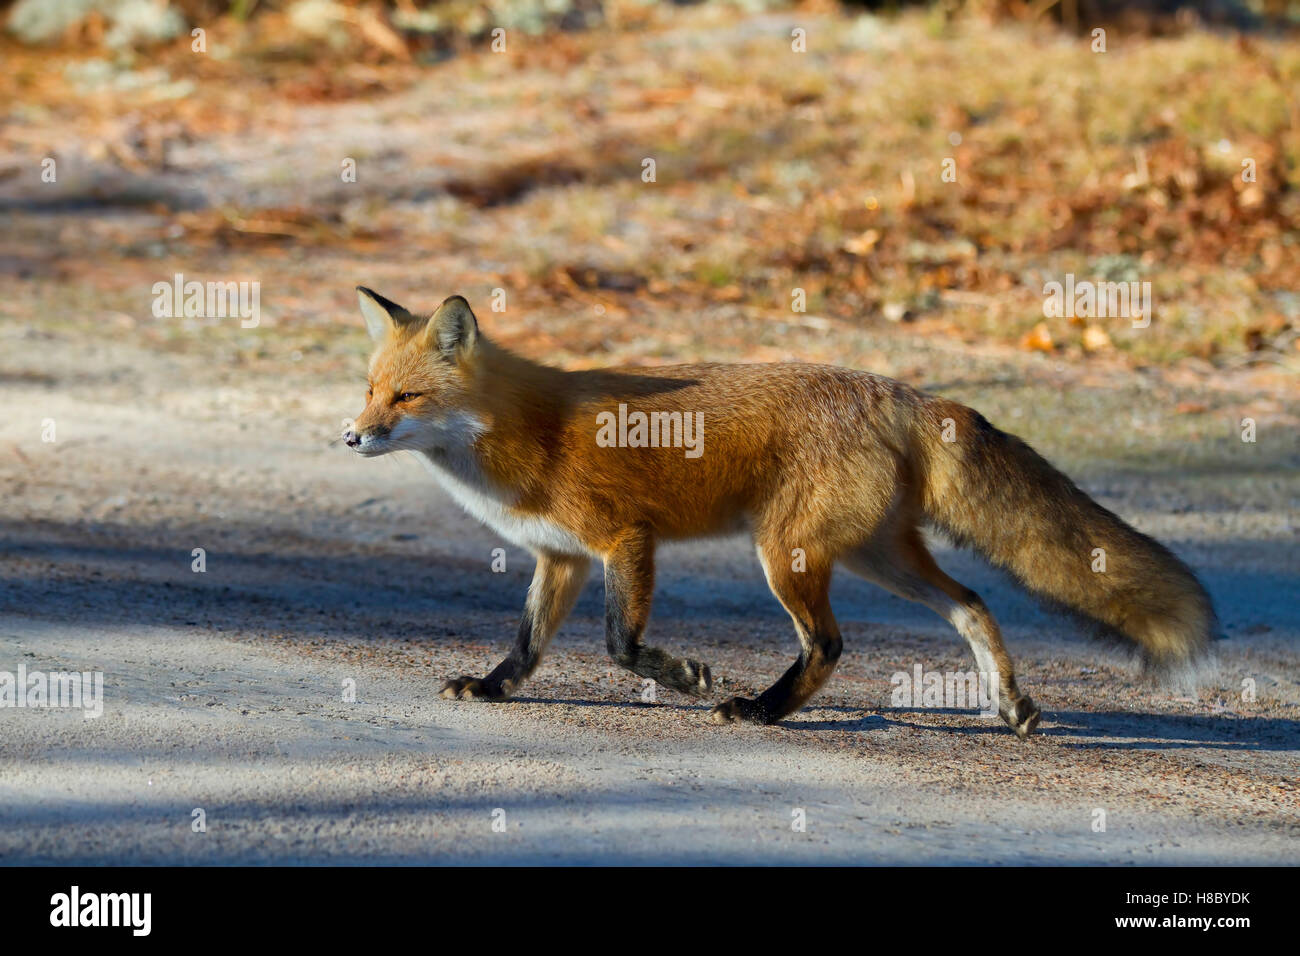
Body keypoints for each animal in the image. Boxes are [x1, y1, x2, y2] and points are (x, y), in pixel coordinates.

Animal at [342, 287, 1216, 736]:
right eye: (369, 389)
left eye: (405, 398)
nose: (350, 436)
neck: (524, 434)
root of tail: (900, 390)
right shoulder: (559, 557)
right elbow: (526, 645)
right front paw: (492, 689)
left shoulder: (624, 538)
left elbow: (622, 646)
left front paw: (685, 677)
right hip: (876, 554)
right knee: (972, 605)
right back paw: (1009, 704)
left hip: (787, 554)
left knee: (829, 644)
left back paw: (763, 709)